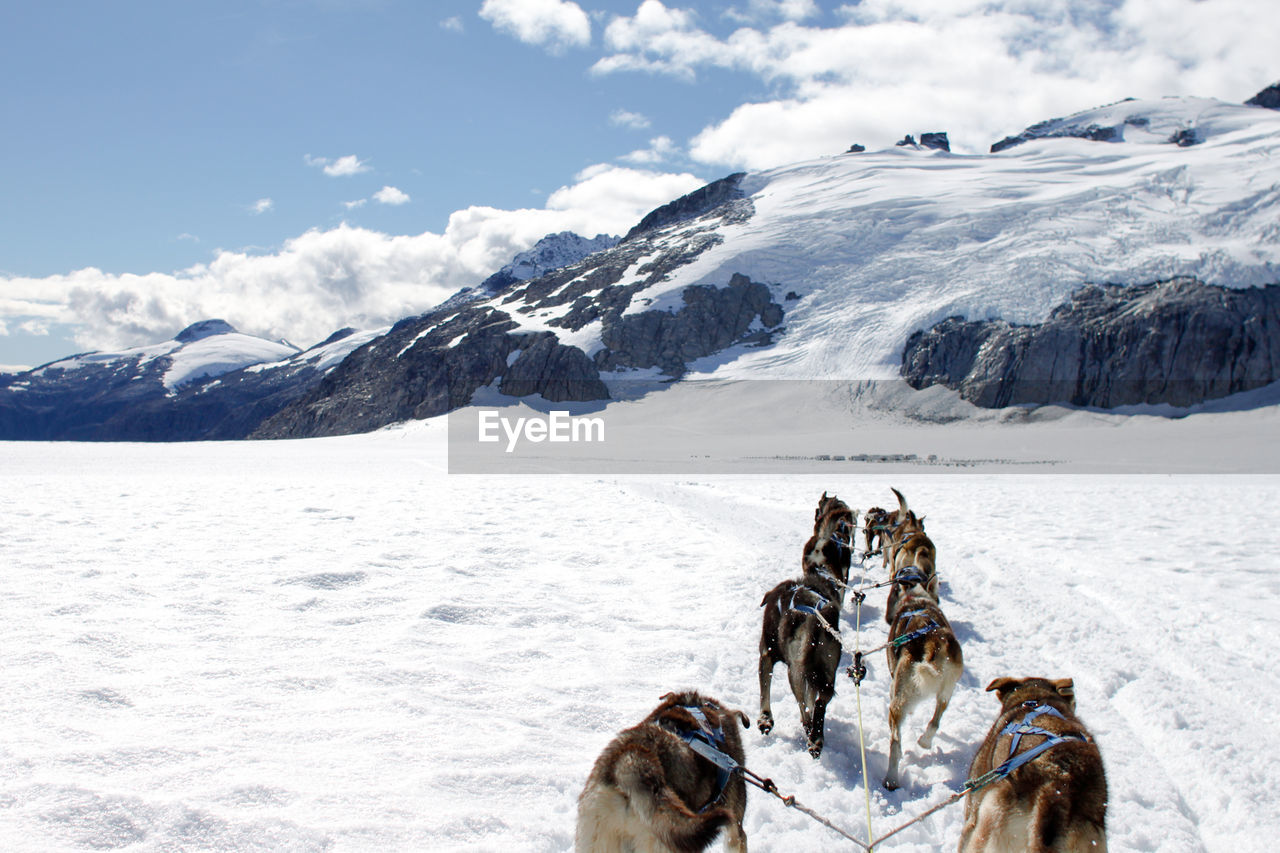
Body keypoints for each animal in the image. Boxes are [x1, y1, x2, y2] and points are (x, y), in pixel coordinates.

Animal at [752, 558, 844, 758]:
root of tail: (815, 619)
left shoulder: (766, 653)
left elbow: (764, 690)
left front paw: (765, 719)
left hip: (795, 671)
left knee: (805, 709)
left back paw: (811, 736)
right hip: (825, 670)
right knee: (819, 702)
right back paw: (816, 738)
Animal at [880, 573, 962, 788]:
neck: (916, 598)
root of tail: (934, 643)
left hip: (897, 704)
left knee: (895, 744)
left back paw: (891, 779)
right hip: (947, 692)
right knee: (934, 722)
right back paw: (925, 741)